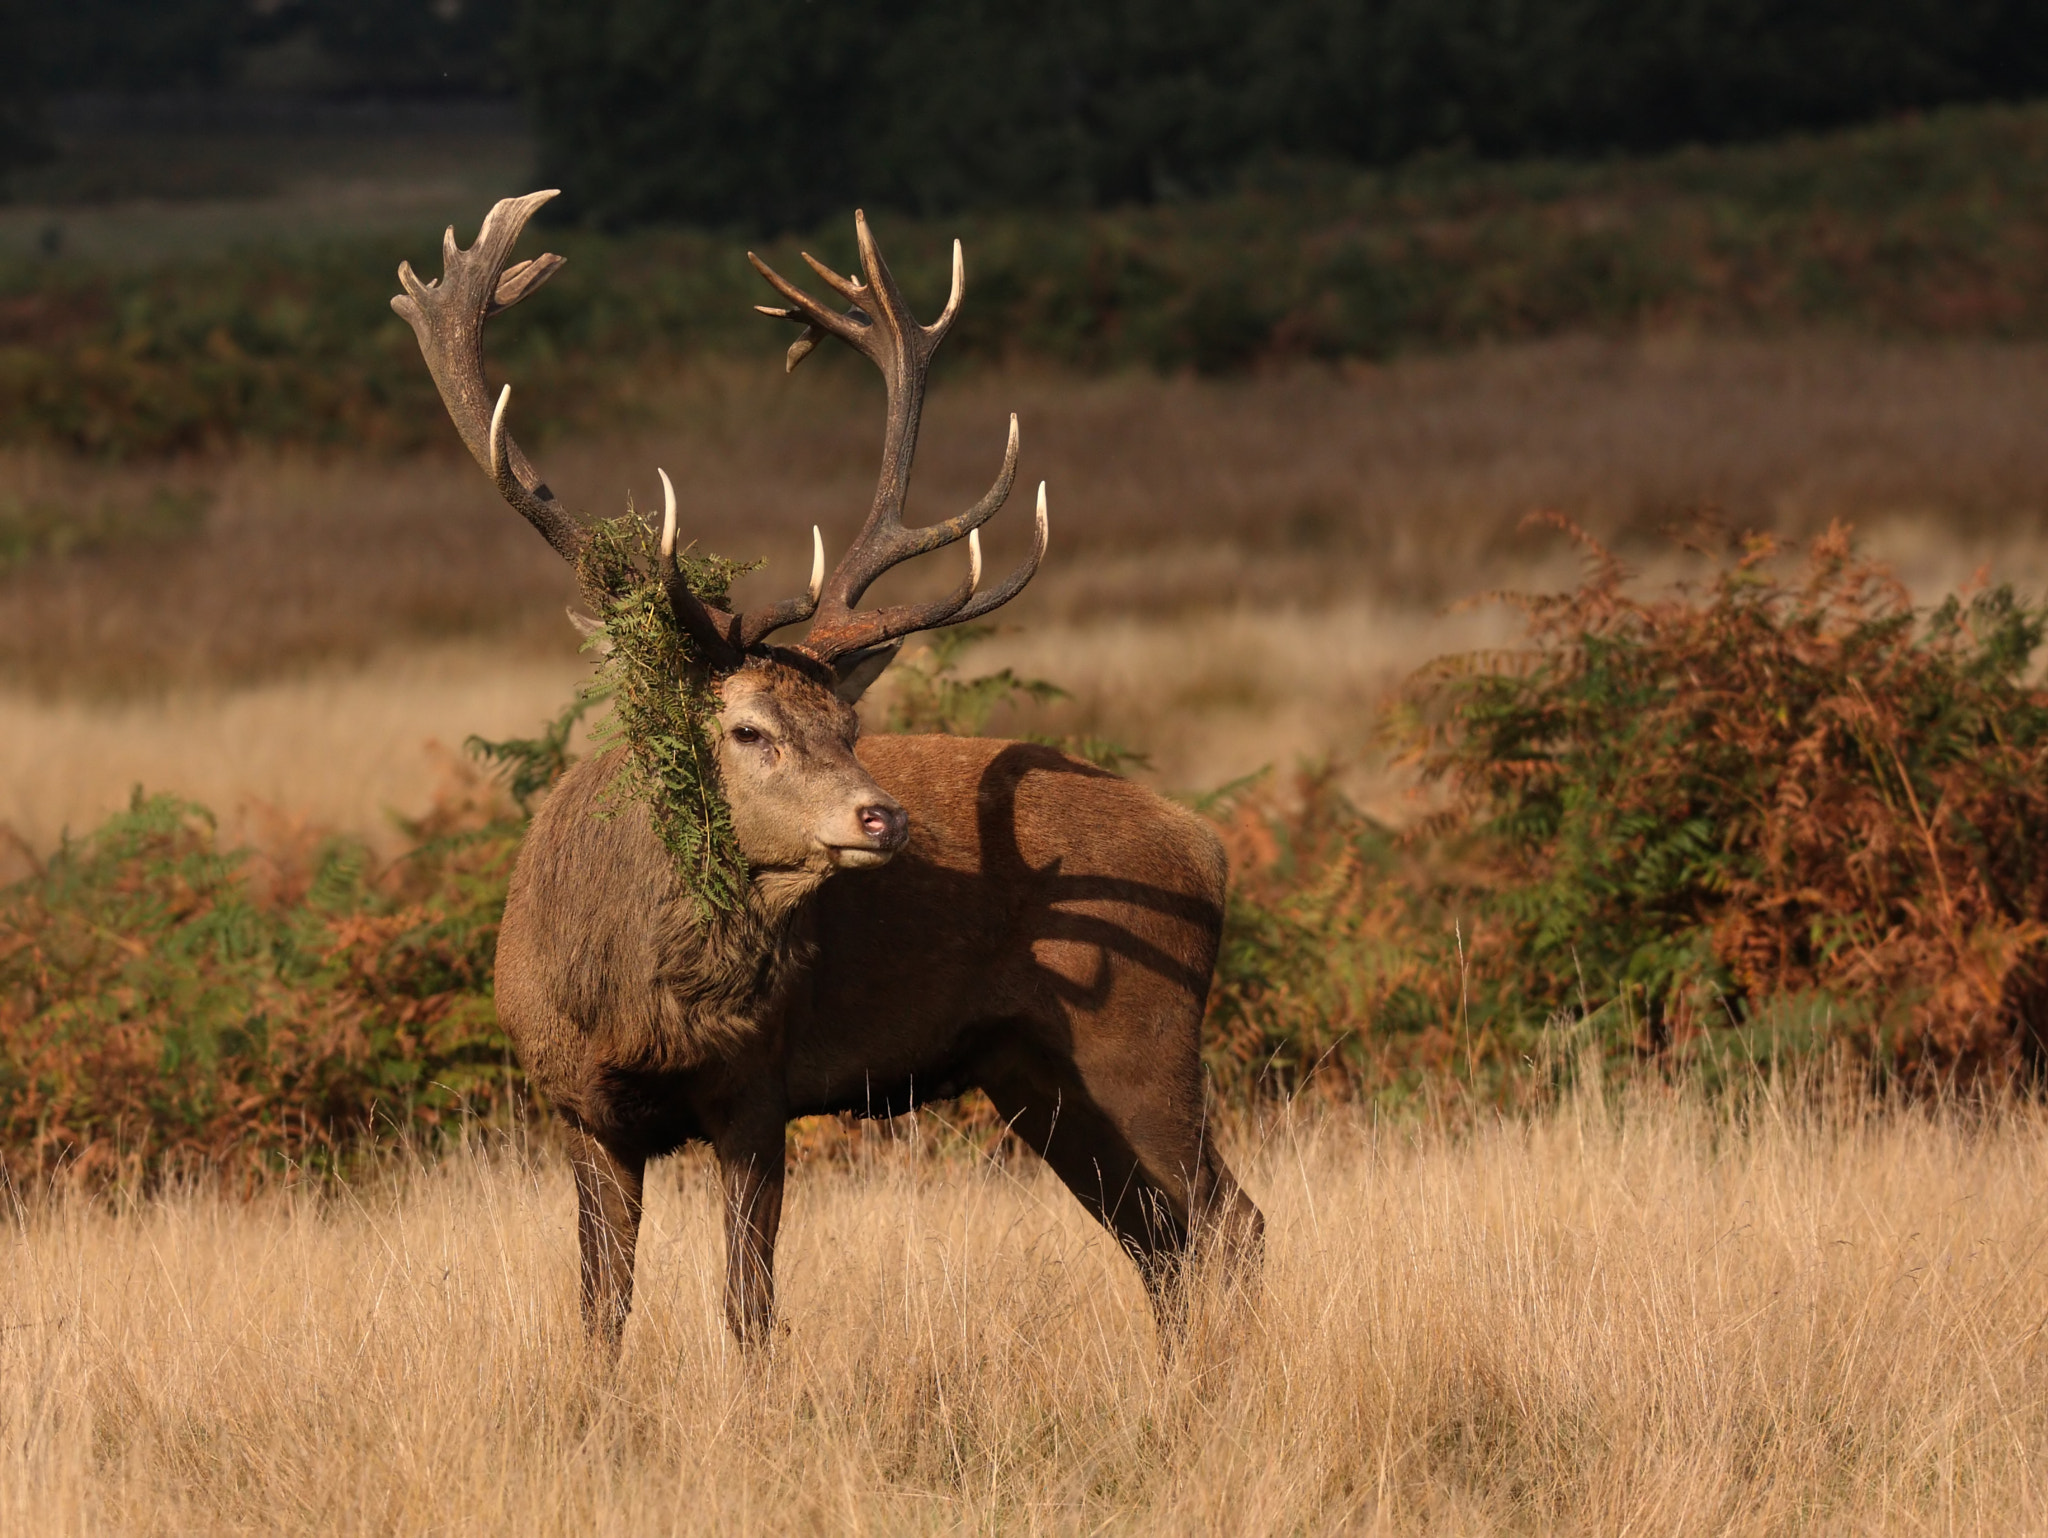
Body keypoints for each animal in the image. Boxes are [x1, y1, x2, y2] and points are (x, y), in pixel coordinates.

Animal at [392, 190, 1262, 1350]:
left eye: (850, 722)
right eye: (747, 729)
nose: (884, 818)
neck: (630, 999)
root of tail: (1206, 844)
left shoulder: (759, 1089)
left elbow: (748, 1309)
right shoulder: (578, 1107)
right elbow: (600, 1313)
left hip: (1144, 1037)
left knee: (1228, 1224)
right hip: (1038, 1071)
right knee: (1159, 1245)